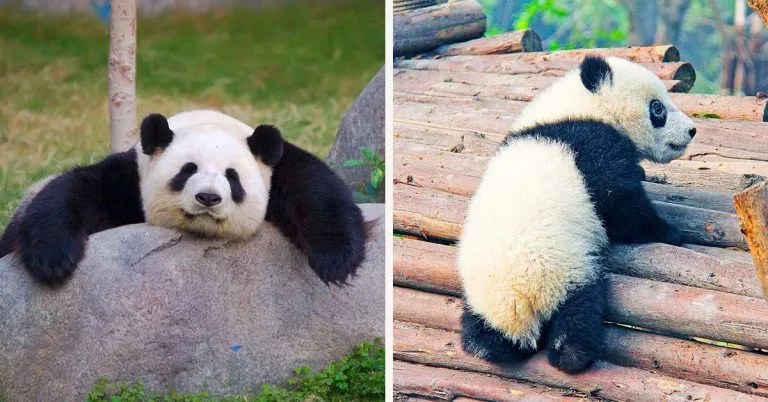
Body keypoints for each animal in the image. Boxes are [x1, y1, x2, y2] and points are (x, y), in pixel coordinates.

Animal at [0, 110, 367, 287]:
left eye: (232, 177)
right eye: (187, 170)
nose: (208, 197)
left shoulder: (277, 168)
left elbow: (317, 189)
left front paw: (336, 261)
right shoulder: (130, 178)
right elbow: (75, 190)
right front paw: (53, 259)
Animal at [456, 56, 697, 373]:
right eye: (657, 109)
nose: (692, 131)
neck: (579, 107)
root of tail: (518, 300)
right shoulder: (594, 148)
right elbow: (622, 209)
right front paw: (670, 231)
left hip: (482, 299)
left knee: (483, 334)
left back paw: (487, 344)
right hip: (566, 269)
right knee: (579, 311)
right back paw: (574, 355)